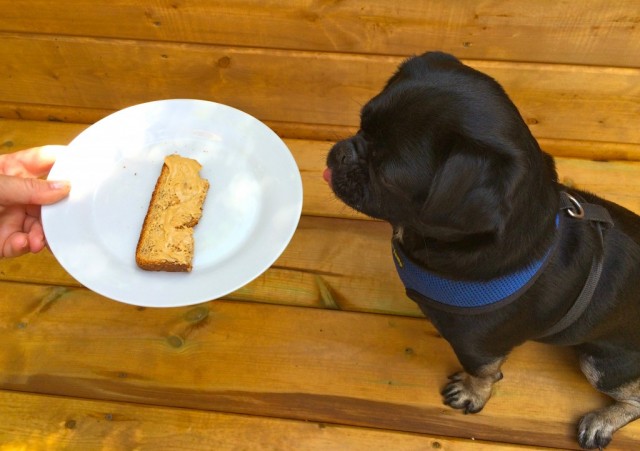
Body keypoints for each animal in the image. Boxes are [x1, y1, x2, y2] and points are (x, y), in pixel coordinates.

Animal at [324, 52, 640, 448]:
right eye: (361, 125)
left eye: (386, 174)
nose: (342, 152)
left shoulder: (478, 348)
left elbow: (483, 371)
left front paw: (473, 393)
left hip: (601, 364)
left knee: (633, 397)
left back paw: (601, 420)